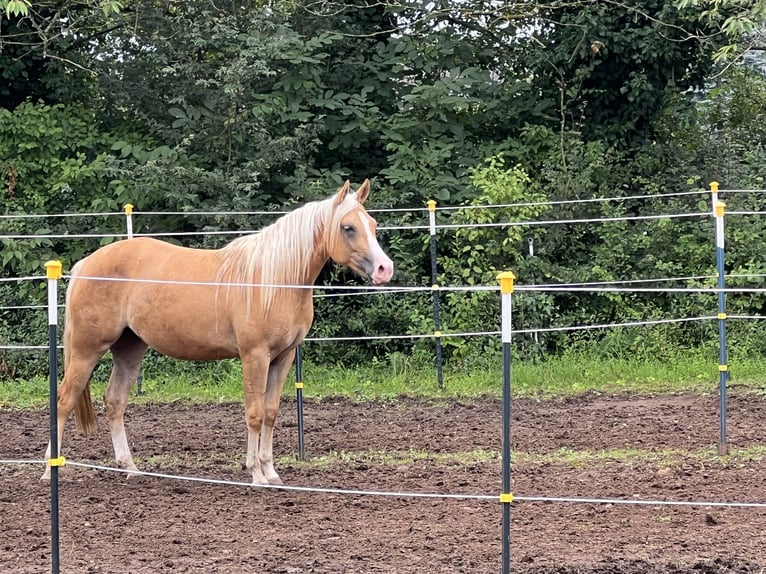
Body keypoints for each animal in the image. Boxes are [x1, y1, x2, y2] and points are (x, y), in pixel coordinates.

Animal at [40, 180, 396, 486]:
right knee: (64, 399)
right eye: (348, 227)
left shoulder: (283, 358)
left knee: (114, 401)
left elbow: (270, 413)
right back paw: (49, 470)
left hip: (129, 349)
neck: (272, 280)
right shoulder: (254, 356)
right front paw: (256, 474)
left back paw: (130, 468)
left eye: (373, 224)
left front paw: (272, 472)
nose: (384, 269)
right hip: (87, 350)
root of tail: (85, 264)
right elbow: (254, 413)